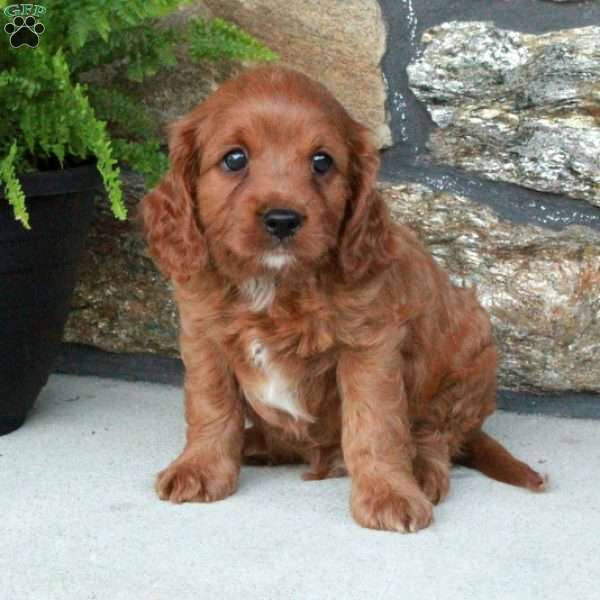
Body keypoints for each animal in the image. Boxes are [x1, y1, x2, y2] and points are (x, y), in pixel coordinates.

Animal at [143, 67, 548, 536]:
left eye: (322, 162)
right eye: (234, 159)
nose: (282, 220)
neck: (274, 285)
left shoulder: (369, 346)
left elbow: (375, 425)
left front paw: (388, 493)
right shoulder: (203, 335)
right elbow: (211, 405)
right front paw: (201, 466)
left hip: (472, 354)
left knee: (435, 435)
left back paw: (421, 472)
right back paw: (256, 443)